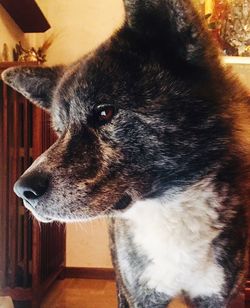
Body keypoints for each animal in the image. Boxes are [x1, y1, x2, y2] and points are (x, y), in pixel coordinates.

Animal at [1, 0, 248, 308]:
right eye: (59, 130)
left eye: (104, 112)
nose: (22, 191)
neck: (170, 207)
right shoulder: (141, 294)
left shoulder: (217, 295)